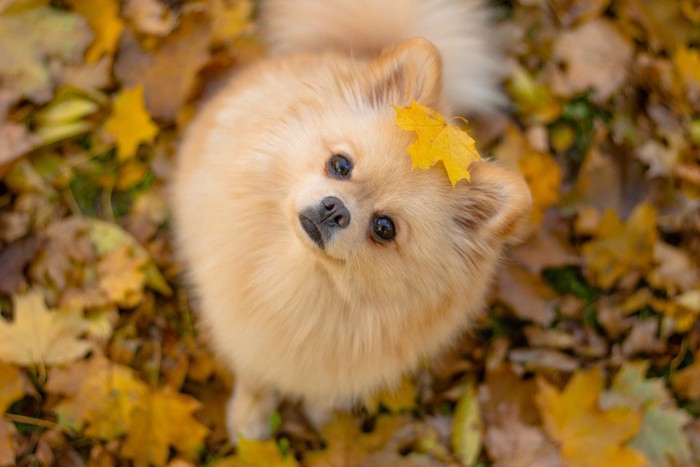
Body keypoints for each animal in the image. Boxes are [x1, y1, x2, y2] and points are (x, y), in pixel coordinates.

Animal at [174, 0, 532, 442]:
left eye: (384, 228)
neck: (302, 279)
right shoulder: (247, 333)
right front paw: (249, 419)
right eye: (340, 165)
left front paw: (322, 414)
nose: (335, 209)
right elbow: (255, 377)